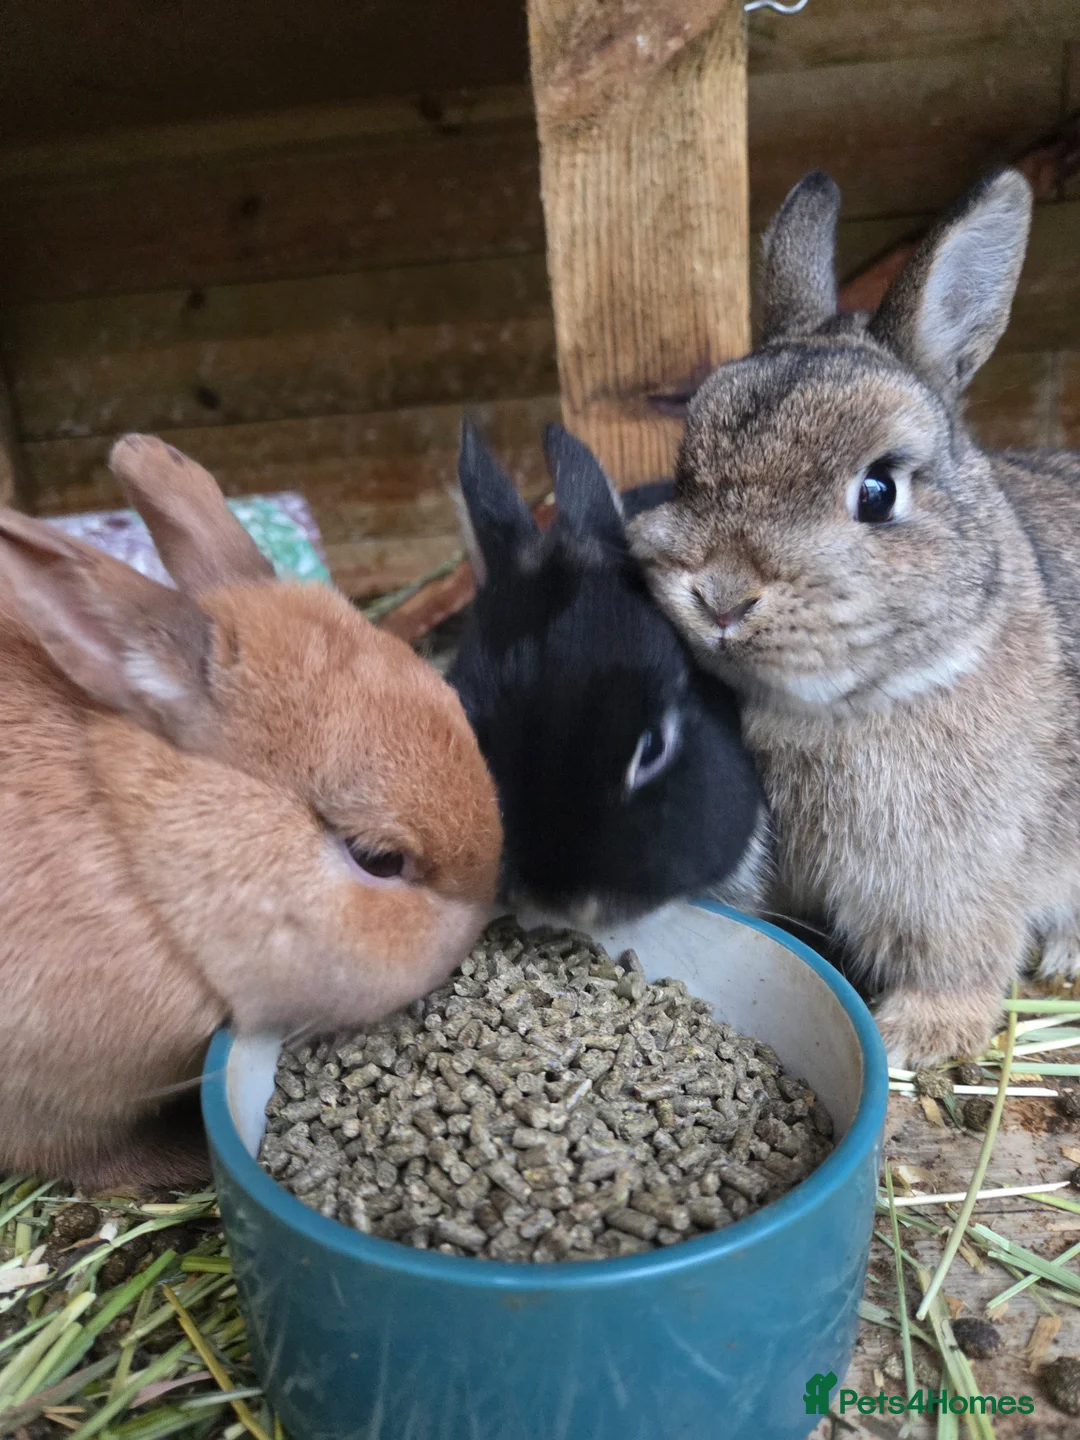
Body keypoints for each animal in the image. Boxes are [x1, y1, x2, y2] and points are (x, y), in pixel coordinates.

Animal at [0, 434, 501, 1190]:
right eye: (378, 858)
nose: (484, 915)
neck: (140, 865)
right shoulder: (53, 1104)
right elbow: (100, 1160)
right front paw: (182, 1156)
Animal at [629, 164, 1080, 1065]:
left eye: (878, 491)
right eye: (687, 468)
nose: (721, 595)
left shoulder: (951, 875)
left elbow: (954, 954)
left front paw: (916, 1036)